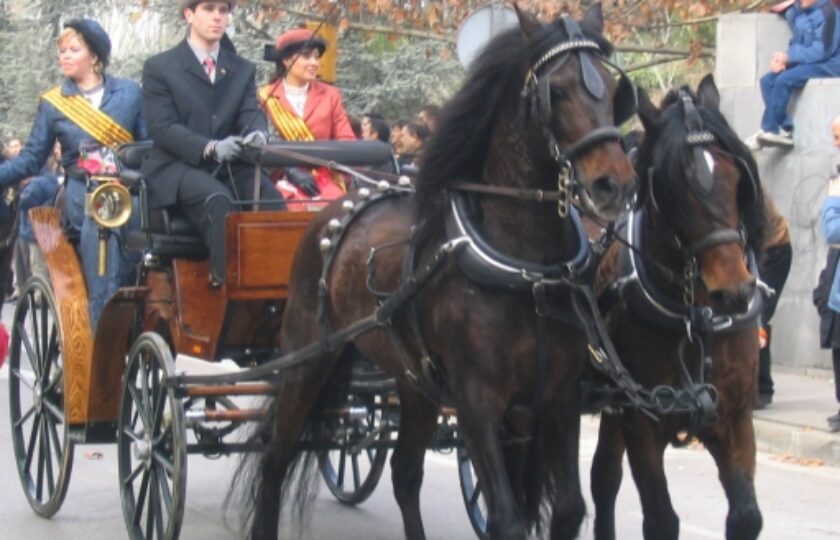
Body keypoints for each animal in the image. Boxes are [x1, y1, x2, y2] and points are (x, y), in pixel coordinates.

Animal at [243, 5, 636, 540]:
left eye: (615, 94)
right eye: (555, 92)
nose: (614, 183)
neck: (527, 268)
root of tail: (334, 212)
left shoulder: (558, 394)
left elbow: (570, 508)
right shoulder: (476, 399)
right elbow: (508, 518)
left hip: (414, 382)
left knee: (405, 472)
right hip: (307, 359)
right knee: (276, 455)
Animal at [592, 75, 768, 540]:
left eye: (736, 175)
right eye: (674, 183)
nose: (735, 291)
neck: (696, 316)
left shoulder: (734, 416)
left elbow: (746, 517)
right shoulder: (642, 421)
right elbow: (660, 518)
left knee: (603, 478)